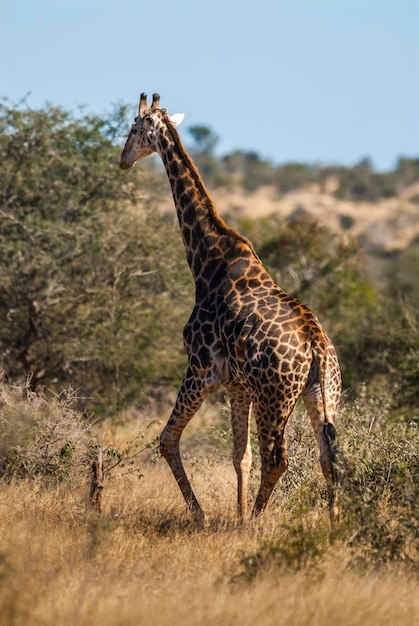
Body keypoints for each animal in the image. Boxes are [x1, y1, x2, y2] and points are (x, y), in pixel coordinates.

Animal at [119, 91, 342, 520]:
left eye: (135, 128)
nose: (122, 159)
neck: (207, 260)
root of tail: (317, 348)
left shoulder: (202, 369)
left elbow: (167, 440)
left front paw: (204, 516)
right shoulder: (237, 385)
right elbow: (240, 456)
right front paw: (233, 516)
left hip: (277, 397)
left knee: (279, 459)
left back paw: (256, 521)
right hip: (323, 394)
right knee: (330, 458)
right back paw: (334, 524)